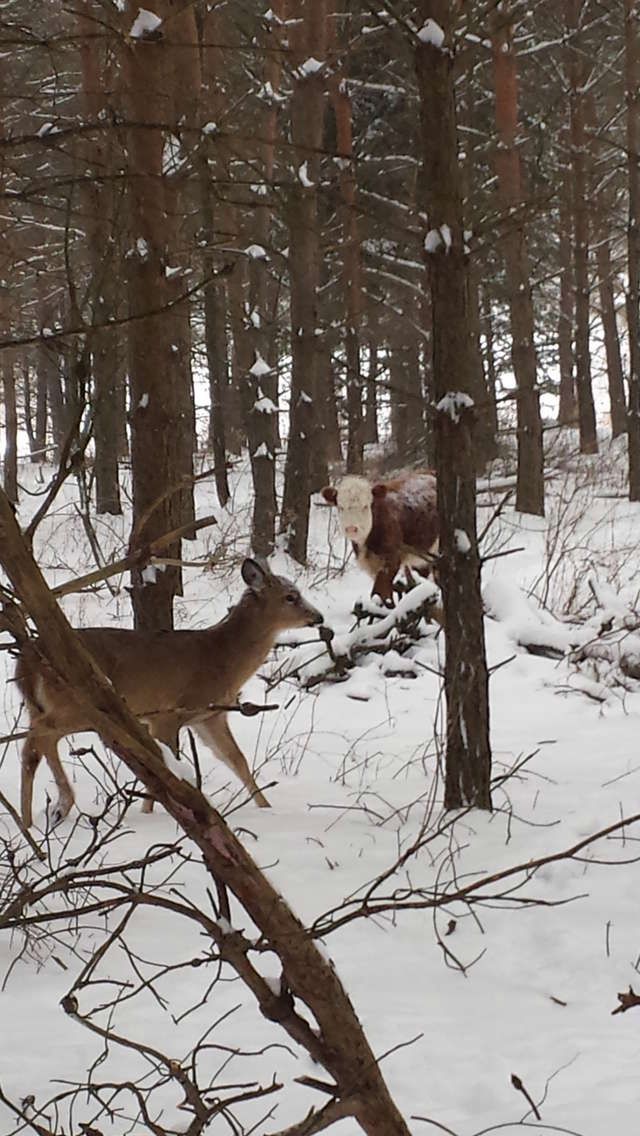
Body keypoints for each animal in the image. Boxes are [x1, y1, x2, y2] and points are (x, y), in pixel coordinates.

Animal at [15, 556, 325, 831]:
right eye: (291, 596)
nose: (318, 616)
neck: (222, 658)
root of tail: (26, 663)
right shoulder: (168, 712)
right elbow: (167, 766)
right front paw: (154, 812)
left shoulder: (209, 717)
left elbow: (236, 759)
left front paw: (266, 808)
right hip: (77, 704)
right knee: (37, 741)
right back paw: (40, 816)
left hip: (46, 706)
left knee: (40, 744)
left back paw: (49, 811)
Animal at [320, 470, 441, 608]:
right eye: (340, 507)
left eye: (365, 506)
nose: (351, 528)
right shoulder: (372, 566)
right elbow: (386, 593)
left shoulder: (392, 558)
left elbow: (379, 592)